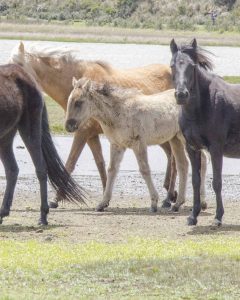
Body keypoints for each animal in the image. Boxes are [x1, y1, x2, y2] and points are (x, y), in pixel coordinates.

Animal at [0, 63, 86, 225]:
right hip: (6, 137)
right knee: (12, 170)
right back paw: (3, 213)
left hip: (29, 129)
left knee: (40, 168)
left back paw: (43, 216)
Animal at [8, 41, 178, 206]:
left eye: (18, 66)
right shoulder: (91, 136)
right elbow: (101, 164)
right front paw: (105, 195)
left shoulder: (81, 133)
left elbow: (70, 163)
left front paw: (56, 199)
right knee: (171, 157)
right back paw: (170, 194)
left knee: (174, 160)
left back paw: (168, 197)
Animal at [65, 78, 206, 212]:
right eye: (69, 101)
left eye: (78, 102)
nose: (68, 126)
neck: (119, 112)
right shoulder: (117, 145)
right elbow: (112, 170)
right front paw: (102, 204)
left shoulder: (139, 144)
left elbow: (144, 170)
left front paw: (153, 203)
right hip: (175, 139)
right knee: (184, 165)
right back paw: (178, 204)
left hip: (185, 138)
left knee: (202, 160)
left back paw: (200, 203)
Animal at [170, 37, 240, 225]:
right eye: (172, 65)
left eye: (192, 66)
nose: (181, 95)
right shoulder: (192, 148)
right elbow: (195, 181)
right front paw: (193, 215)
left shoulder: (215, 148)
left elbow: (216, 182)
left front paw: (218, 217)